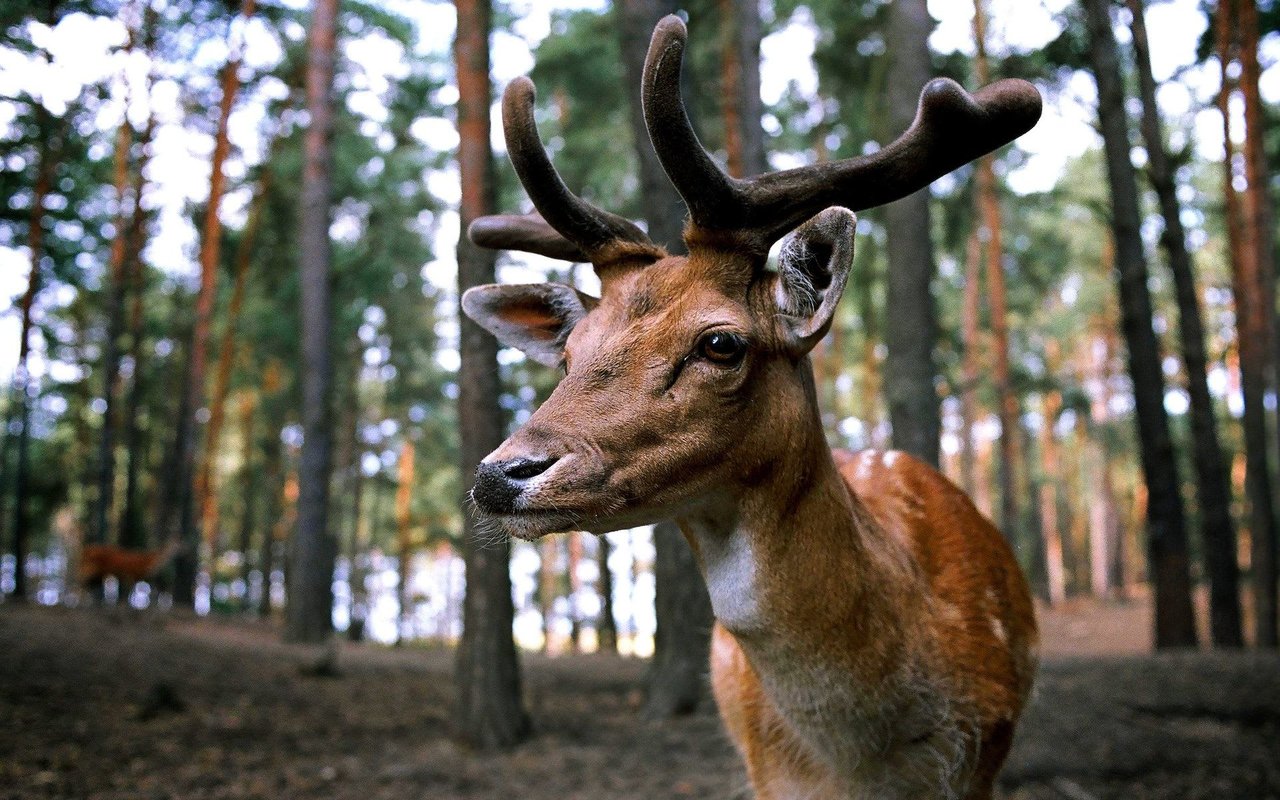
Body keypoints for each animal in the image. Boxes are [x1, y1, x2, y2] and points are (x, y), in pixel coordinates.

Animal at [462, 16, 1040, 800]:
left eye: (720, 342)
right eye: (568, 354)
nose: (501, 473)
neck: (865, 763)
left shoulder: (985, 759)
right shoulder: (767, 775)